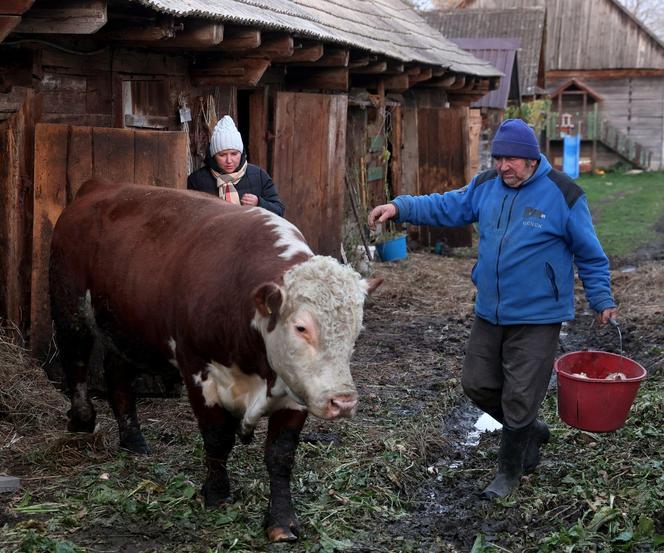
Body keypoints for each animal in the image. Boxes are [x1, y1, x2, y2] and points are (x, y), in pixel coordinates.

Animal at [49, 179, 382, 540]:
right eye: (301, 327)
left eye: (357, 328)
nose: (343, 401)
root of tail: (99, 186)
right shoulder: (198, 371)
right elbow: (217, 438)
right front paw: (217, 493)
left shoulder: (296, 388)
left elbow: (280, 455)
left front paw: (281, 520)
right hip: (69, 307)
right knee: (76, 361)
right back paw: (82, 420)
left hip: (124, 326)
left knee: (117, 375)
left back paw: (133, 439)